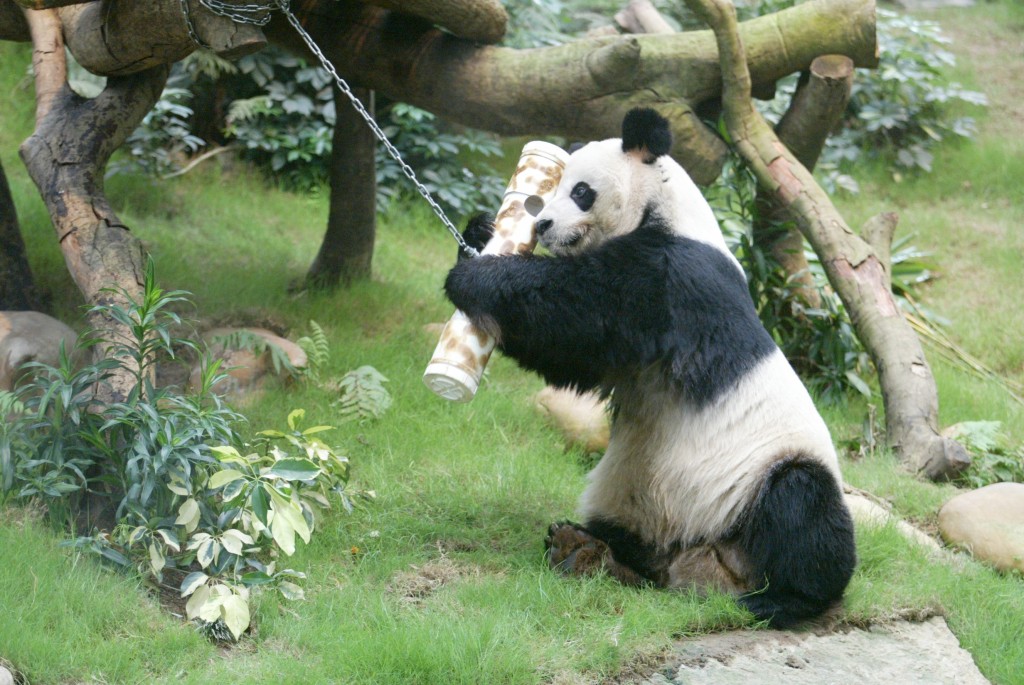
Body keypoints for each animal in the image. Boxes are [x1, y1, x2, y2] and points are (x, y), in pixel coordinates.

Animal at [446, 106, 856, 626]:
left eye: (581, 191)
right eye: (556, 188)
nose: (542, 226)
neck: (663, 206)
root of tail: (703, 569)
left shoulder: (672, 277)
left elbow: (584, 312)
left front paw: (475, 276)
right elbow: (571, 357)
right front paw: (479, 232)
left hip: (757, 479)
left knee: (804, 508)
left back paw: (782, 599)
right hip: (632, 495)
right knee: (629, 535)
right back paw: (583, 548)